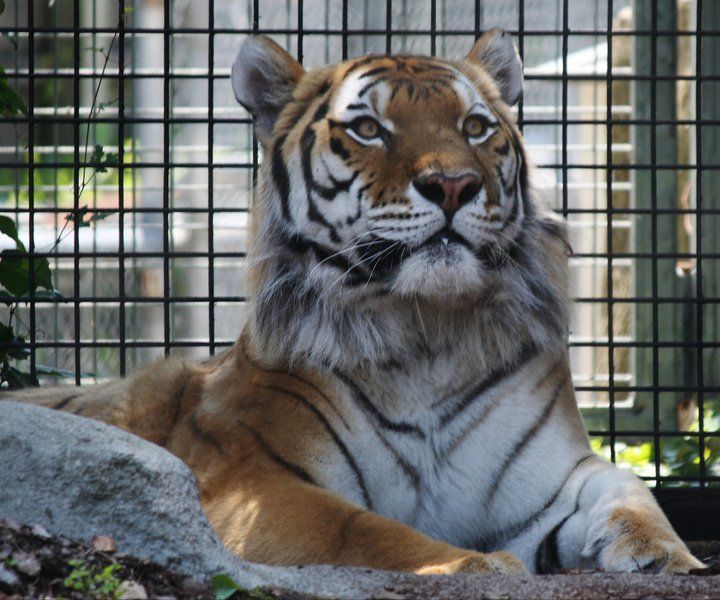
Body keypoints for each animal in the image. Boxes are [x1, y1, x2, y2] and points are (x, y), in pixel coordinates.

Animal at [5, 29, 704, 576]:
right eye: (368, 128)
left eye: (476, 127)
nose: (455, 184)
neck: (426, 333)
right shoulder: (248, 480)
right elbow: (364, 530)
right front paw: (475, 564)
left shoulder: (549, 480)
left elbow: (628, 487)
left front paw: (664, 555)